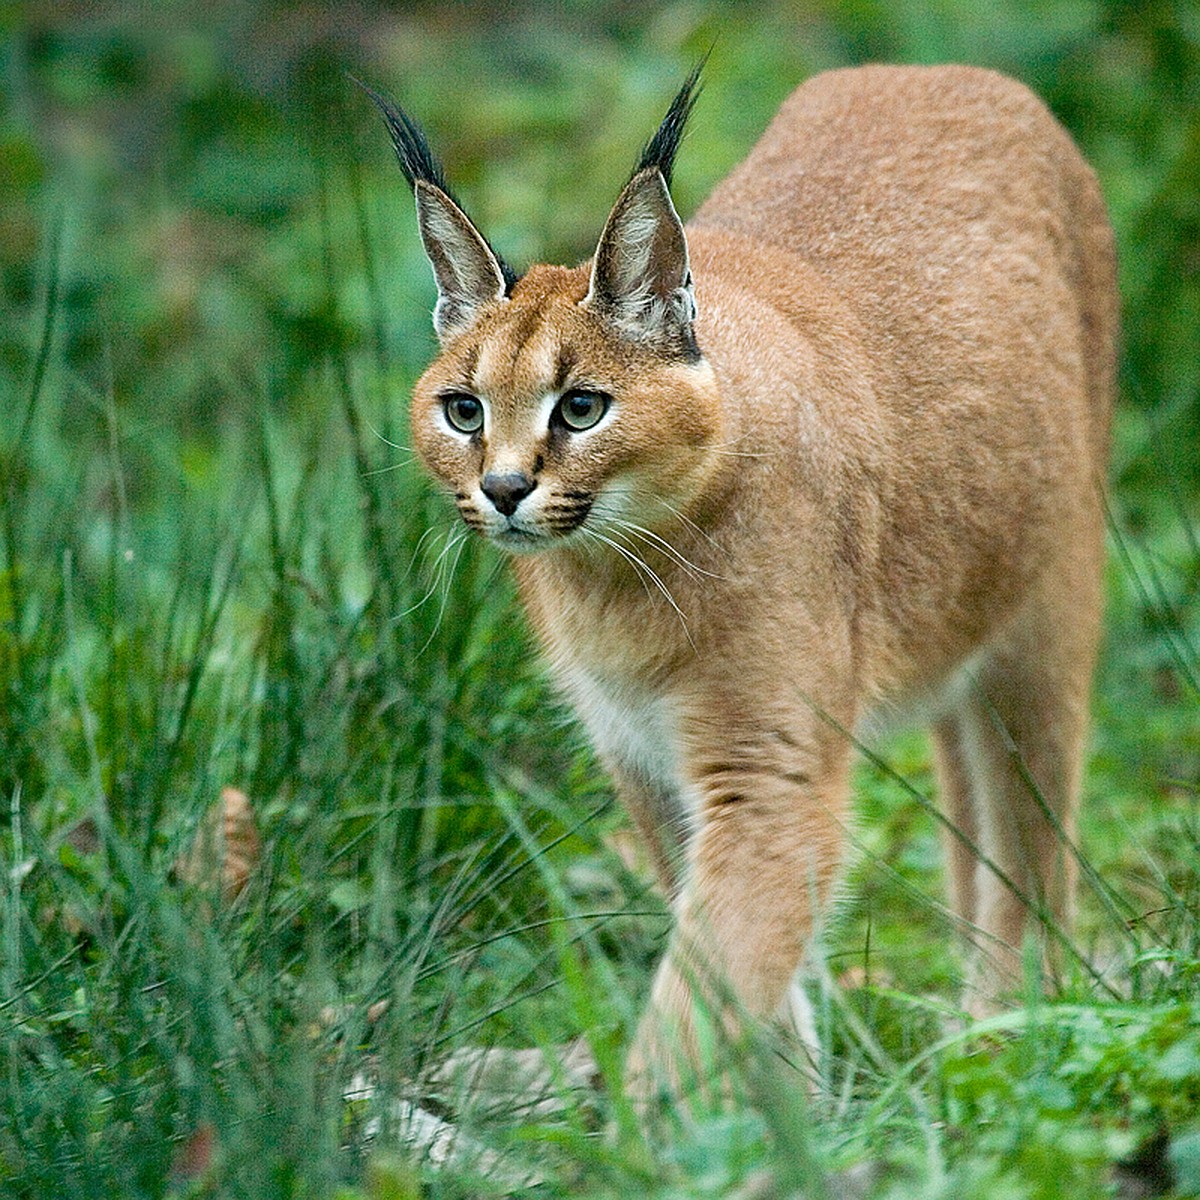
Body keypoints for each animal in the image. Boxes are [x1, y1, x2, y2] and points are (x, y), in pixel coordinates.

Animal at [364, 63, 1113, 1099]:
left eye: (583, 408)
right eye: (463, 411)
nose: (505, 489)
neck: (614, 583)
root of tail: (948, 71)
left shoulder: (766, 772)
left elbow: (703, 990)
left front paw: (657, 1126)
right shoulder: (642, 756)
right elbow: (741, 973)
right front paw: (784, 1106)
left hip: (1048, 609)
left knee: (1033, 836)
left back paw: (1002, 1032)